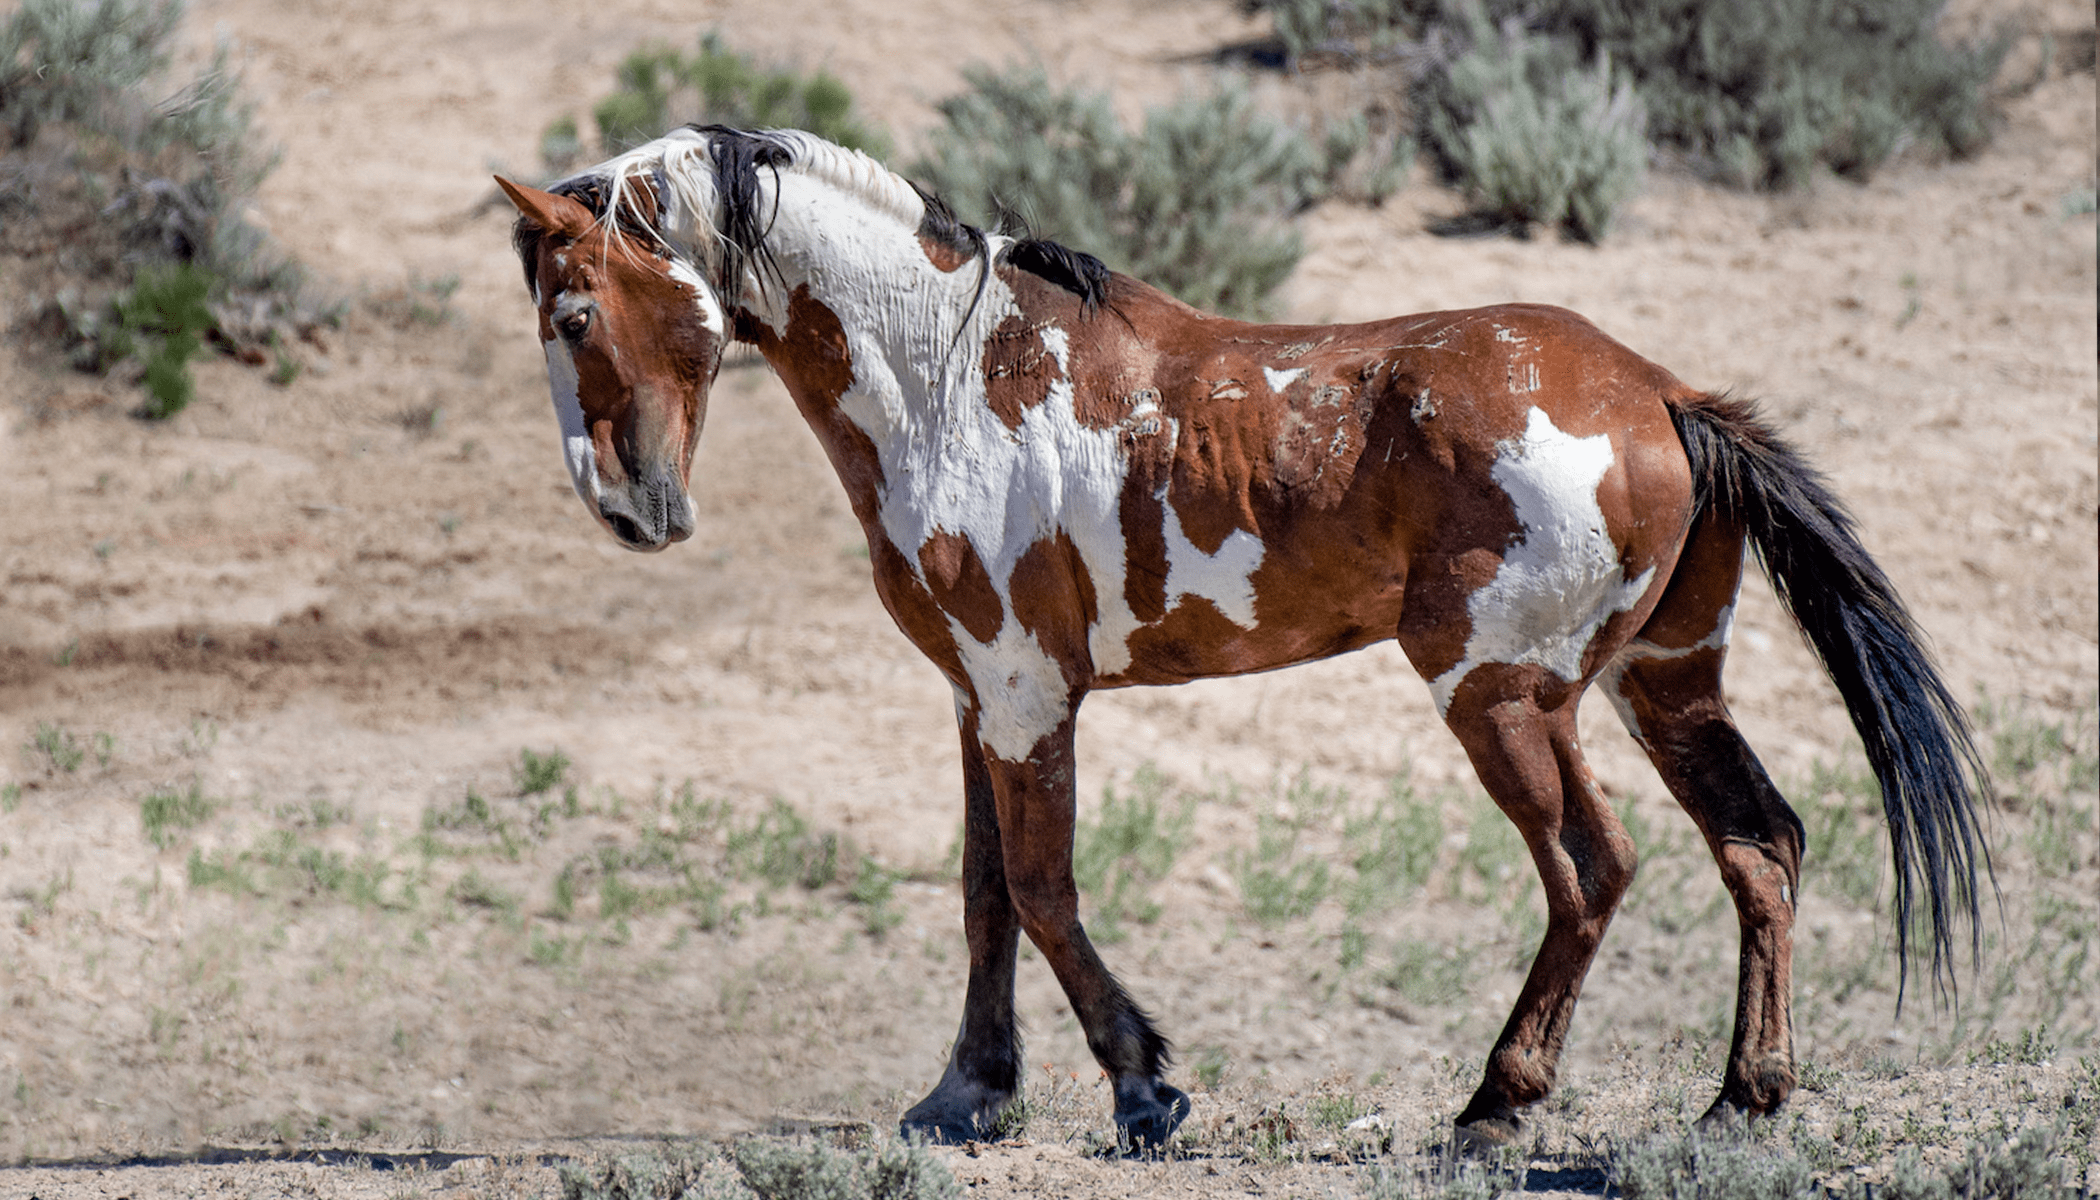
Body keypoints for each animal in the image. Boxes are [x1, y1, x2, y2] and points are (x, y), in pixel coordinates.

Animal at [491, 126, 1982, 1151]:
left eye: (576, 313)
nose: (631, 509)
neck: (953, 375)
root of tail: (1663, 393)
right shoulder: (981, 699)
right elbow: (983, 896)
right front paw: (968, 1096)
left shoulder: (1027, 696)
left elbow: (1043, 892)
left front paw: (1144, 1088)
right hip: (1660, 685)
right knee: (1761, 846)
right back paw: (1744, 1097)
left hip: (1502, 697)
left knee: (1592, 870)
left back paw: (1496, 1105)